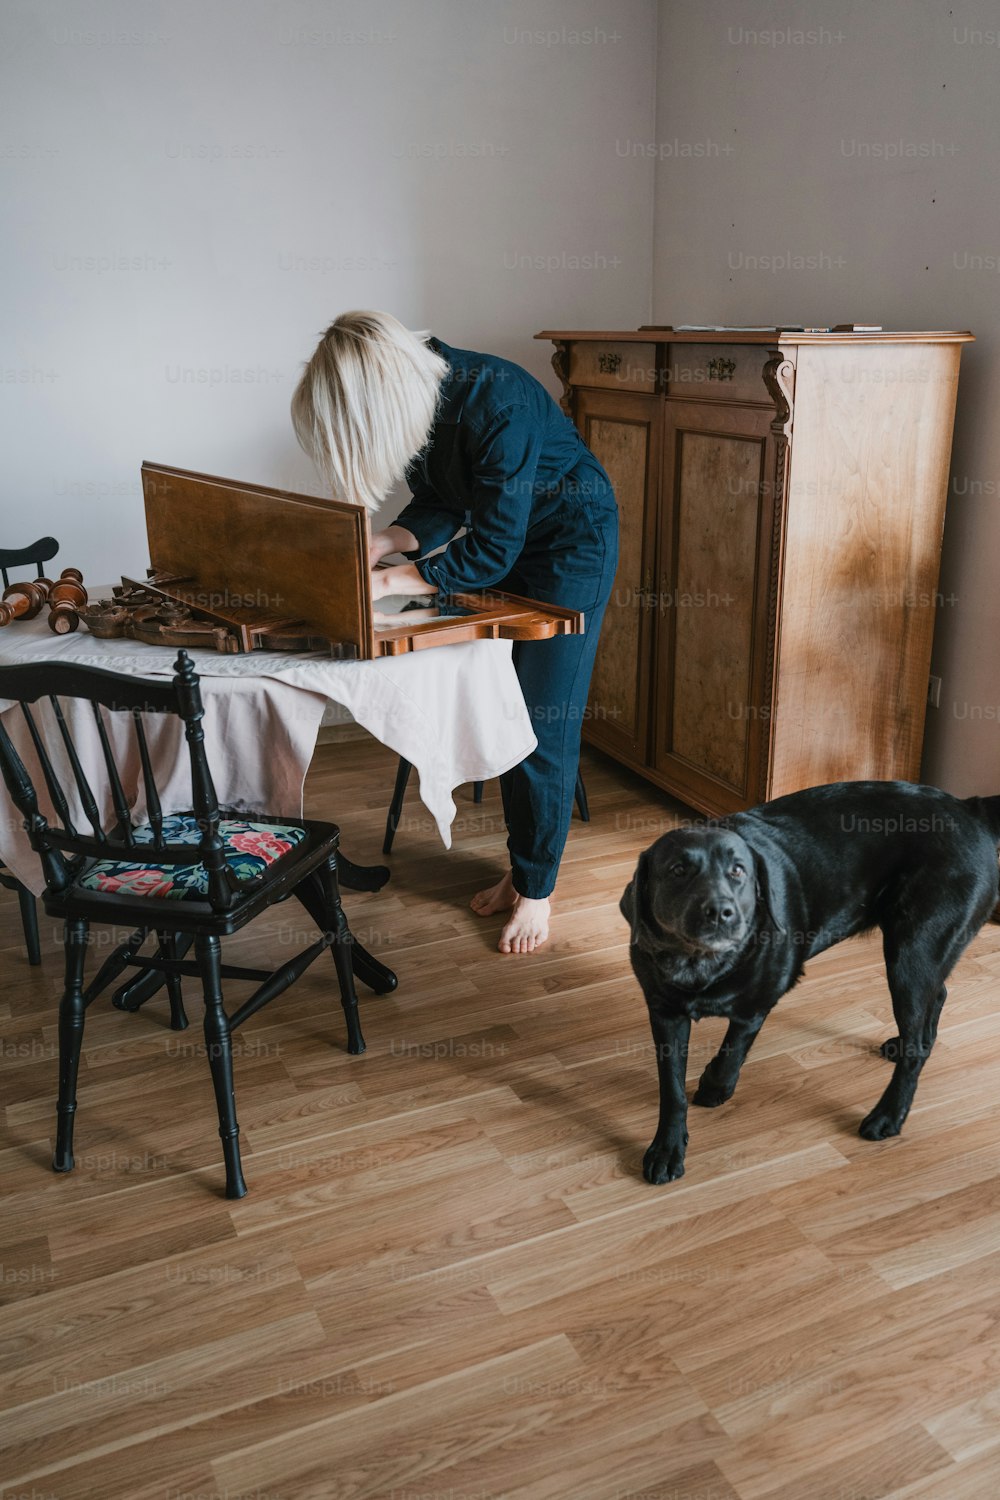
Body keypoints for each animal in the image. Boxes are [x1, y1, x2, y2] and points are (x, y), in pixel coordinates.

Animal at [617, 786, 1000, 1182]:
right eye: (678, 871)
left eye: (738, 870)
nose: (722, 912)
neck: (701, 964)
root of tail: (970, 808)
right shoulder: (664, 1013)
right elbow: (672, 1089)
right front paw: (667, 1148)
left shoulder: (755, 1009)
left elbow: (731, 1054)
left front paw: (713, 1086)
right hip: (923, 958)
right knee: (935, 1002)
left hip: (912, 956)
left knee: (916, 1047)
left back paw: (888, 1116)